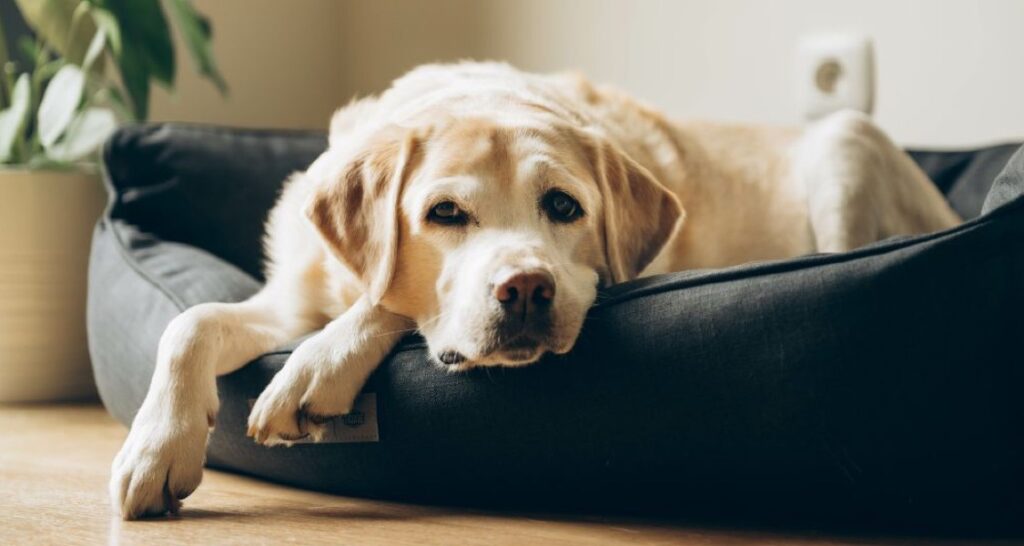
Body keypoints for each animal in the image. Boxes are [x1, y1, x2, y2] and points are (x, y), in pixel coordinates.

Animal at [112, 61, 958, 516]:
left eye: (564, 207)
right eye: (444, 214)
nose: (523, 289)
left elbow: (388, 304)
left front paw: (317, 368)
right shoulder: (290, 298)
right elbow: (189, 324)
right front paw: (156, 447)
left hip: (846, 141)